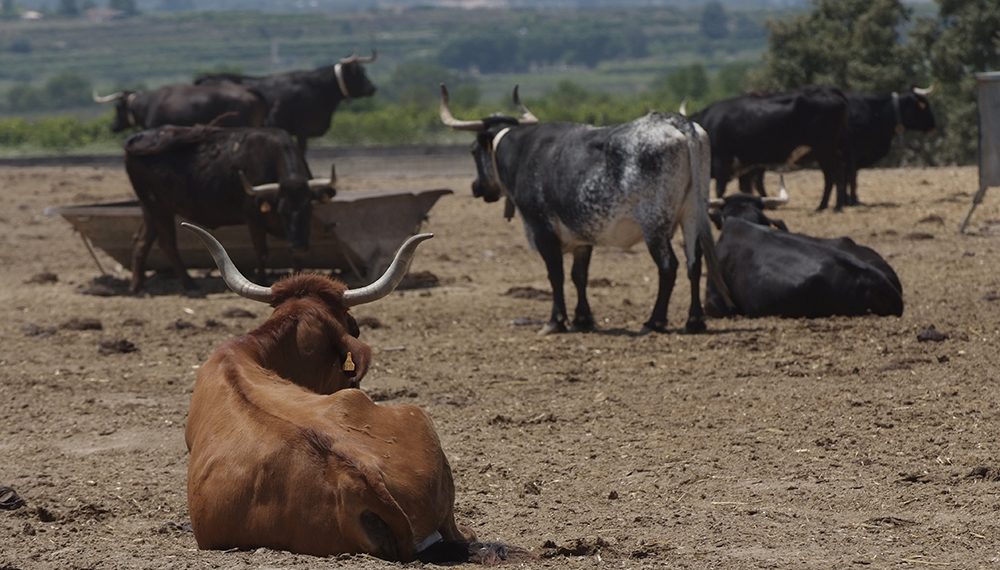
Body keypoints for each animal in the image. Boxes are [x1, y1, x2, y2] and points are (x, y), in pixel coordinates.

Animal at [123, 124, 335, 293]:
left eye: (308, 208)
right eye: (282, 210)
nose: (299, 245)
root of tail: (136, 140)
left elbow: (295, 257)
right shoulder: (252, 217)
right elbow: (261, 251)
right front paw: (261, 279)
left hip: (150, 208)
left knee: (141, 241)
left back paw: (137, 286)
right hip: (159, 207)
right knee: (167, 243)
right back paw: (189, 284)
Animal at [196, 51, 378, 153]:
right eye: (358, 72)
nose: (372, 88)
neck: (317, 87)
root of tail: (207, 77)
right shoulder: (302, 130)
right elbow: (302, 151)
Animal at [439, 84, 733, 335]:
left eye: (473, 150)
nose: (476, 187)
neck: (523, 152)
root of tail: (673, 120)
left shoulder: (542, 229)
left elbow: (556, 275)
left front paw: (555, 321)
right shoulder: (582, 233)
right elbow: (579, 275)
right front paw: (583, 319)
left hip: (655, 223)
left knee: (668, 266)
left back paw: (655, 321)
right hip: (692, 213)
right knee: (694, 263)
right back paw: (694, 321)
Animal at [688, 86, 851, 211]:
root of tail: (829, 91)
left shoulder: (722, 161)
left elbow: (720, 189)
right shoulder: (746, 166)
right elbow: (748, 188)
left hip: (825, 149)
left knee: (836, 173)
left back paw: (837, 207)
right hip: (822, 152)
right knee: (830, 176)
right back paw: (822, 206)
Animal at [741, 86, 936, 206]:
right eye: (923, 106)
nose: (934, 125)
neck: (876, 111)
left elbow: (846, 176)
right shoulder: (852, 153)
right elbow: (850, 177)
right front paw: (852, 200)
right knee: (757, 179)